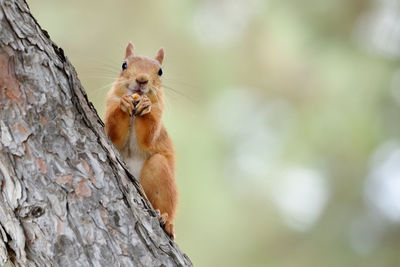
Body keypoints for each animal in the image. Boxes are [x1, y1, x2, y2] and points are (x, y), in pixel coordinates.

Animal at [104, 43, 177, 240]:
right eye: (124, 65)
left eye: (160, 71)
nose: (142, 80)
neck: (133, 115)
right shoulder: (109, 107)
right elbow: (113, 132)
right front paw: (124, 104)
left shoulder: (157, 119)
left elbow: (149, 135)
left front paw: (145, 106)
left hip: (159, 170)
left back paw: (166, 220)